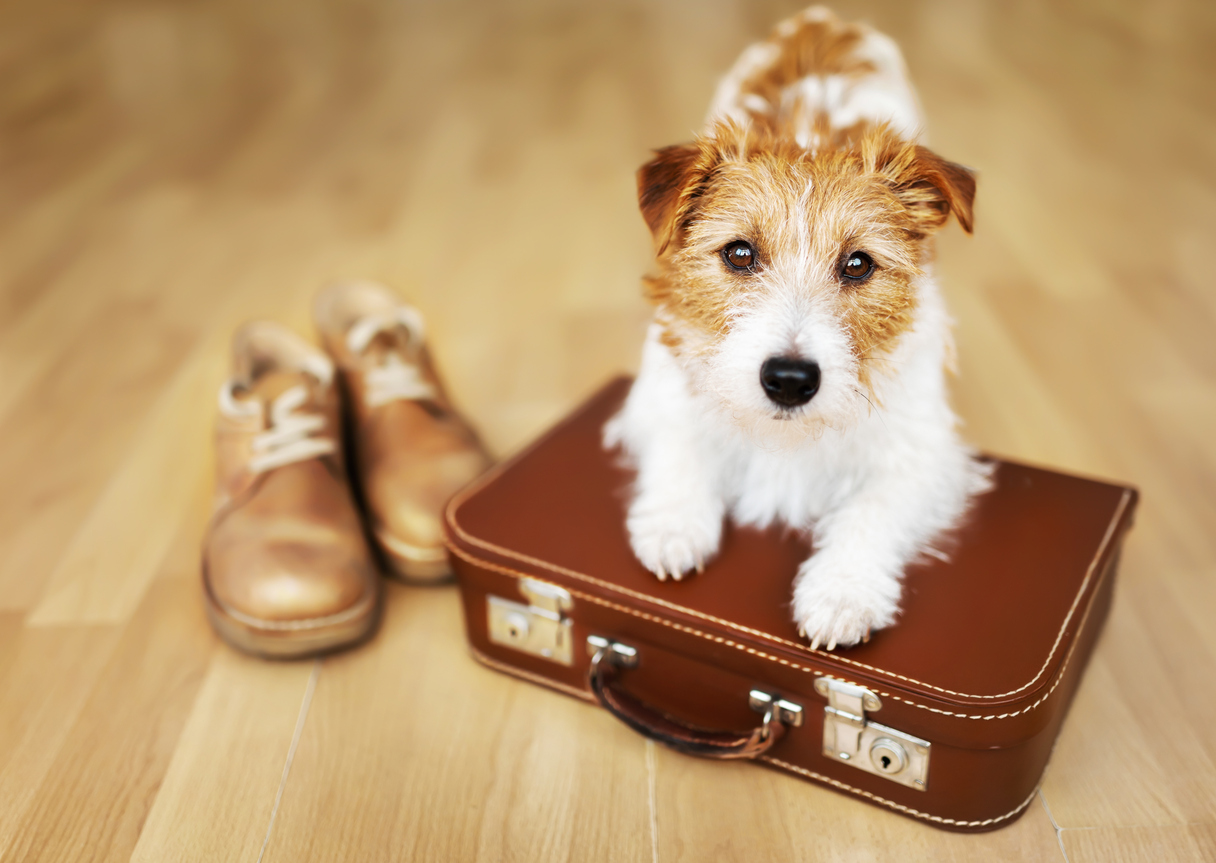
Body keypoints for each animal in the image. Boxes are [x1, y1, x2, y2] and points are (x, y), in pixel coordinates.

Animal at [603, 6, 992, 651]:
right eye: (739, 253)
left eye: (858, 264)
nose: (789, 379)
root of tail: (823, 18)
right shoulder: (662, 386)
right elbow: (681, 440)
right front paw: (674, 523)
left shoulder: (923, 451)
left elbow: (873, 509)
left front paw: (842, 591)